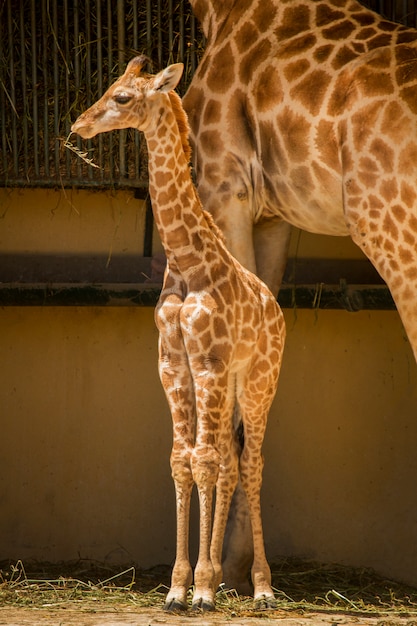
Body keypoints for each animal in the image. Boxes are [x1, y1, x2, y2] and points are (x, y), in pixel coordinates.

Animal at [72, 56, 286, 608]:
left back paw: (261, 587)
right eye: (111, 87)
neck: (187, 262)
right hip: (229, 383)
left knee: (250, 464)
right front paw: (178, 586)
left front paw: (203, 589)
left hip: (259, 381)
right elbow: (182, 460)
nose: (79, 124)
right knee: (231, 460)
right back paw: (227, 580)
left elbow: (203, 460)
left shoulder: (207, 361)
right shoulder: (173, 362)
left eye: (123, 97)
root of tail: (276, 308)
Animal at [183, 0, 417, 596]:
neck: (218, 12)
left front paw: (212, 576)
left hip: (393, 233)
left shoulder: (224, 185)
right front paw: (236, 569)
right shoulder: (272, 216)